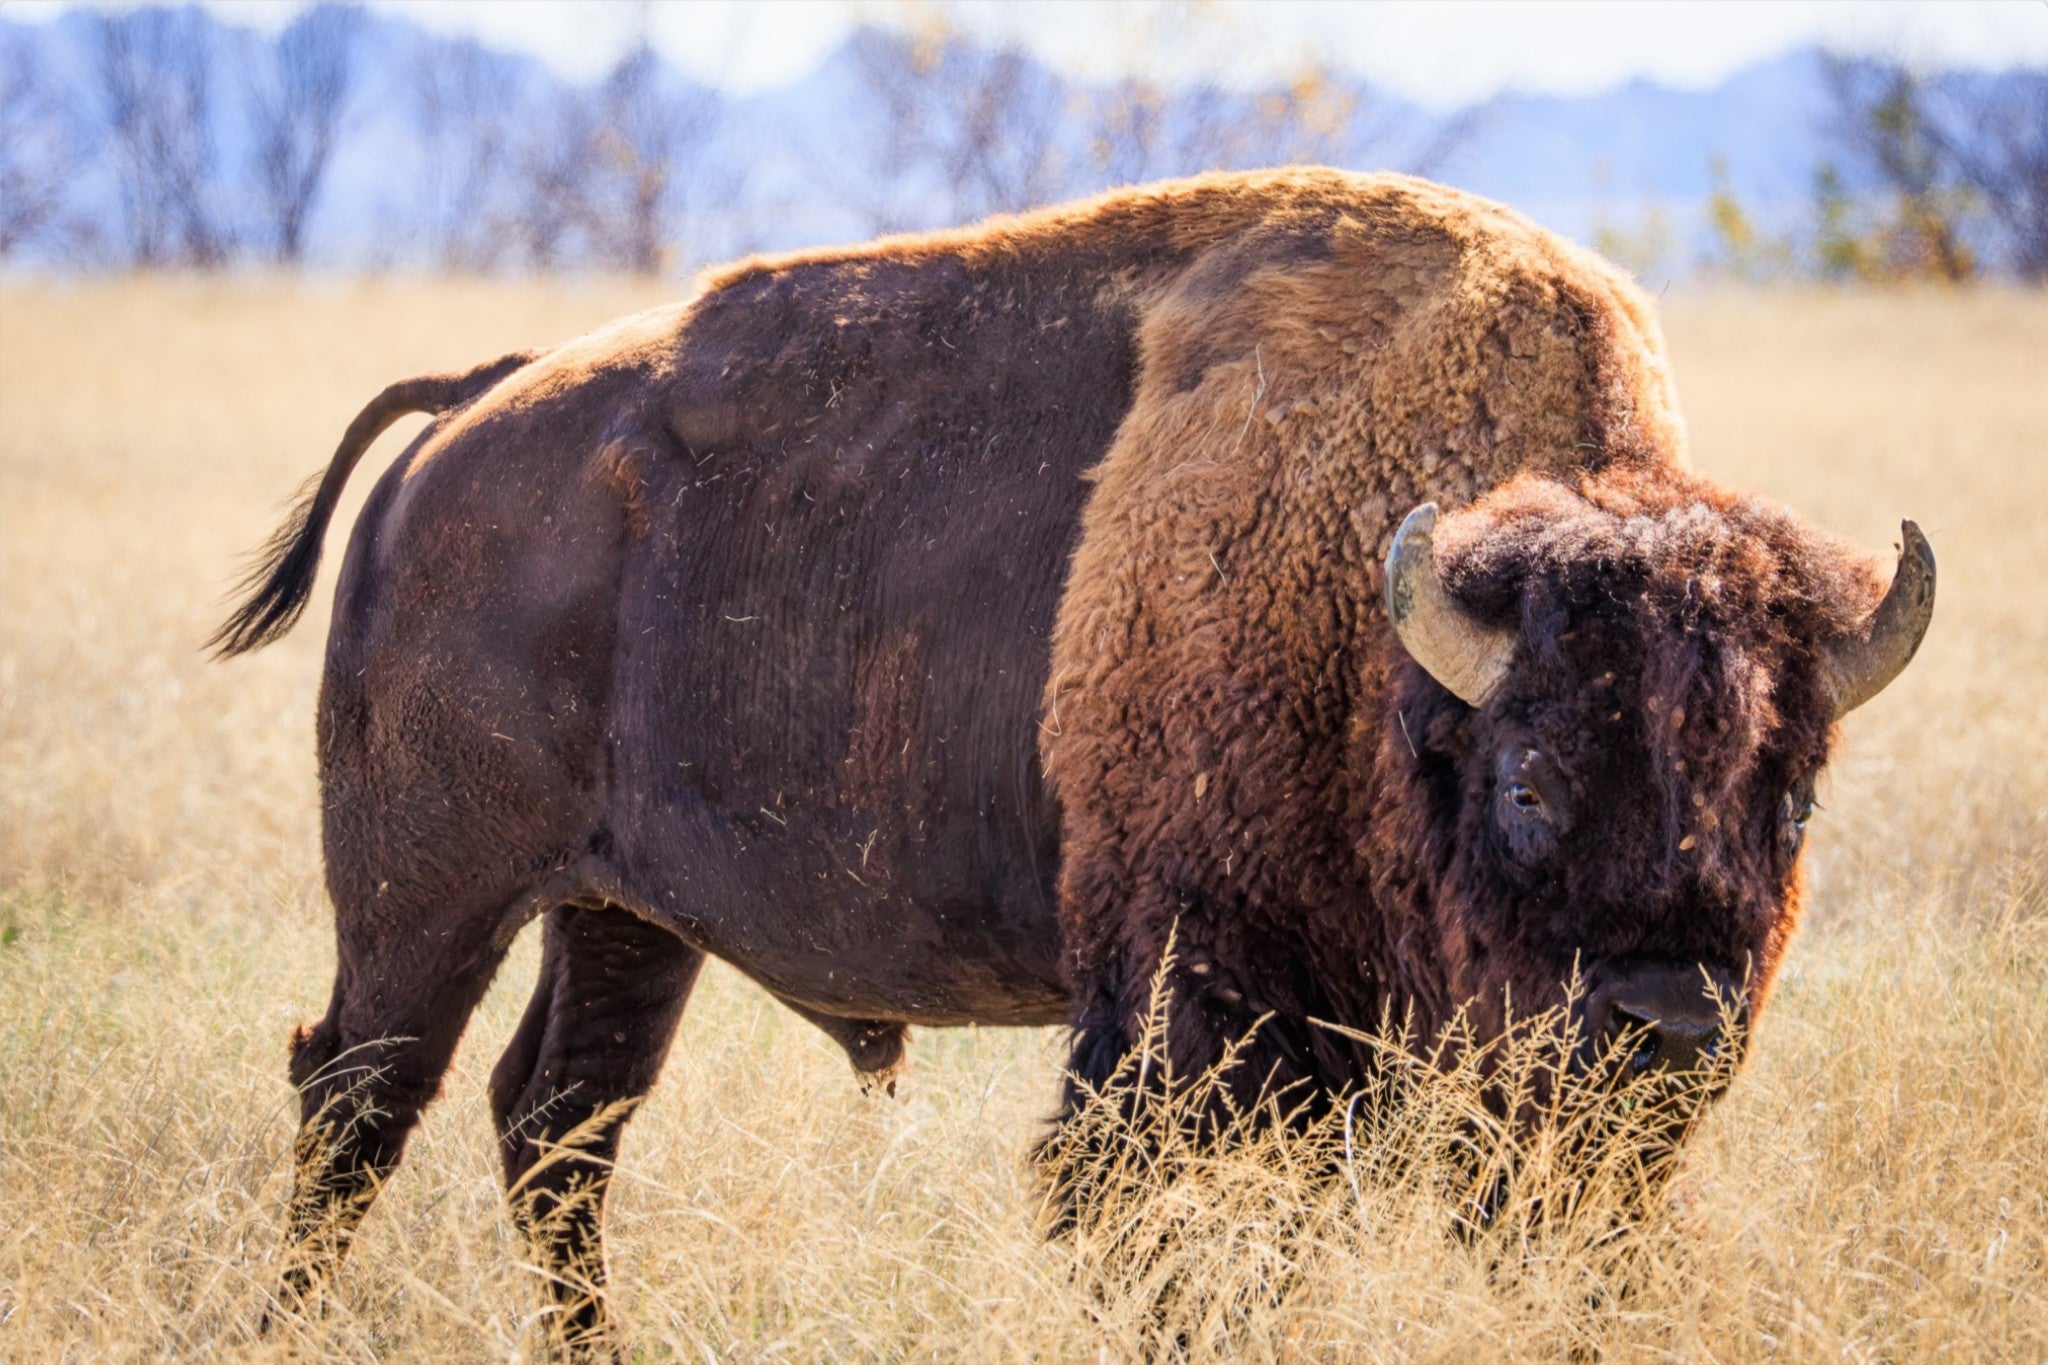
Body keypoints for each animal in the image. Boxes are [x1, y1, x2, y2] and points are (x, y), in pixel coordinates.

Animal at [215, 169, 1932, 1342]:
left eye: (1789, 797)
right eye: (1527, 782)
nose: (1669, 1023)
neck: (1376, 628)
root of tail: (474, 409)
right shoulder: (1190, 1017)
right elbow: (1161, 1231)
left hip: (623, 915)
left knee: (557, 1122)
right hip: (426, 897)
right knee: (359, 1098)